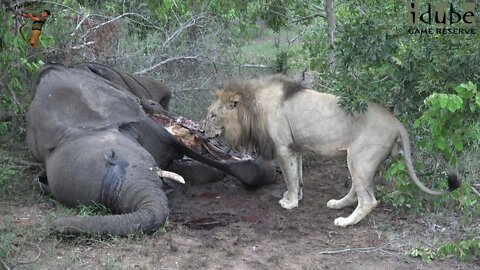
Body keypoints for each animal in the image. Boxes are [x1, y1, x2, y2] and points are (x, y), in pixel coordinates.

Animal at [202, 75, 458, 227]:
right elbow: (298, 176)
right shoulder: (296, 148)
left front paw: (290, 202)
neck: (252, 106)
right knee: (358, 190)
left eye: (213, 115)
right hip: (362, 161)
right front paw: (296, 196)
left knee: (368, 200)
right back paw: (337, 204)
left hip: (359, 158)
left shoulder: (284, 148)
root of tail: (396, 122)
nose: (202, 130)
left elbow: (289, 177)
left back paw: (345, 221)